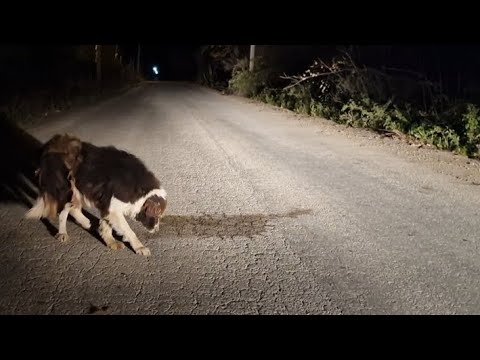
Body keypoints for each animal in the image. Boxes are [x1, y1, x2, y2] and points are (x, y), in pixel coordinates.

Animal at [25, 134, 167, 256]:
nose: (156, 231)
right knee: (64, 212)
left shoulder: (107, 204)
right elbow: (129, 231)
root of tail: (51, 143)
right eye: (157, 216)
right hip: (66, 188)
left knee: (73, 208)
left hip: (78, 189)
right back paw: (63, 233)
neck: (141, 190)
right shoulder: (113, 208)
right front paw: (139, 247)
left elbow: (106, 226)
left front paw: (111, 242)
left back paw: (85, 222)